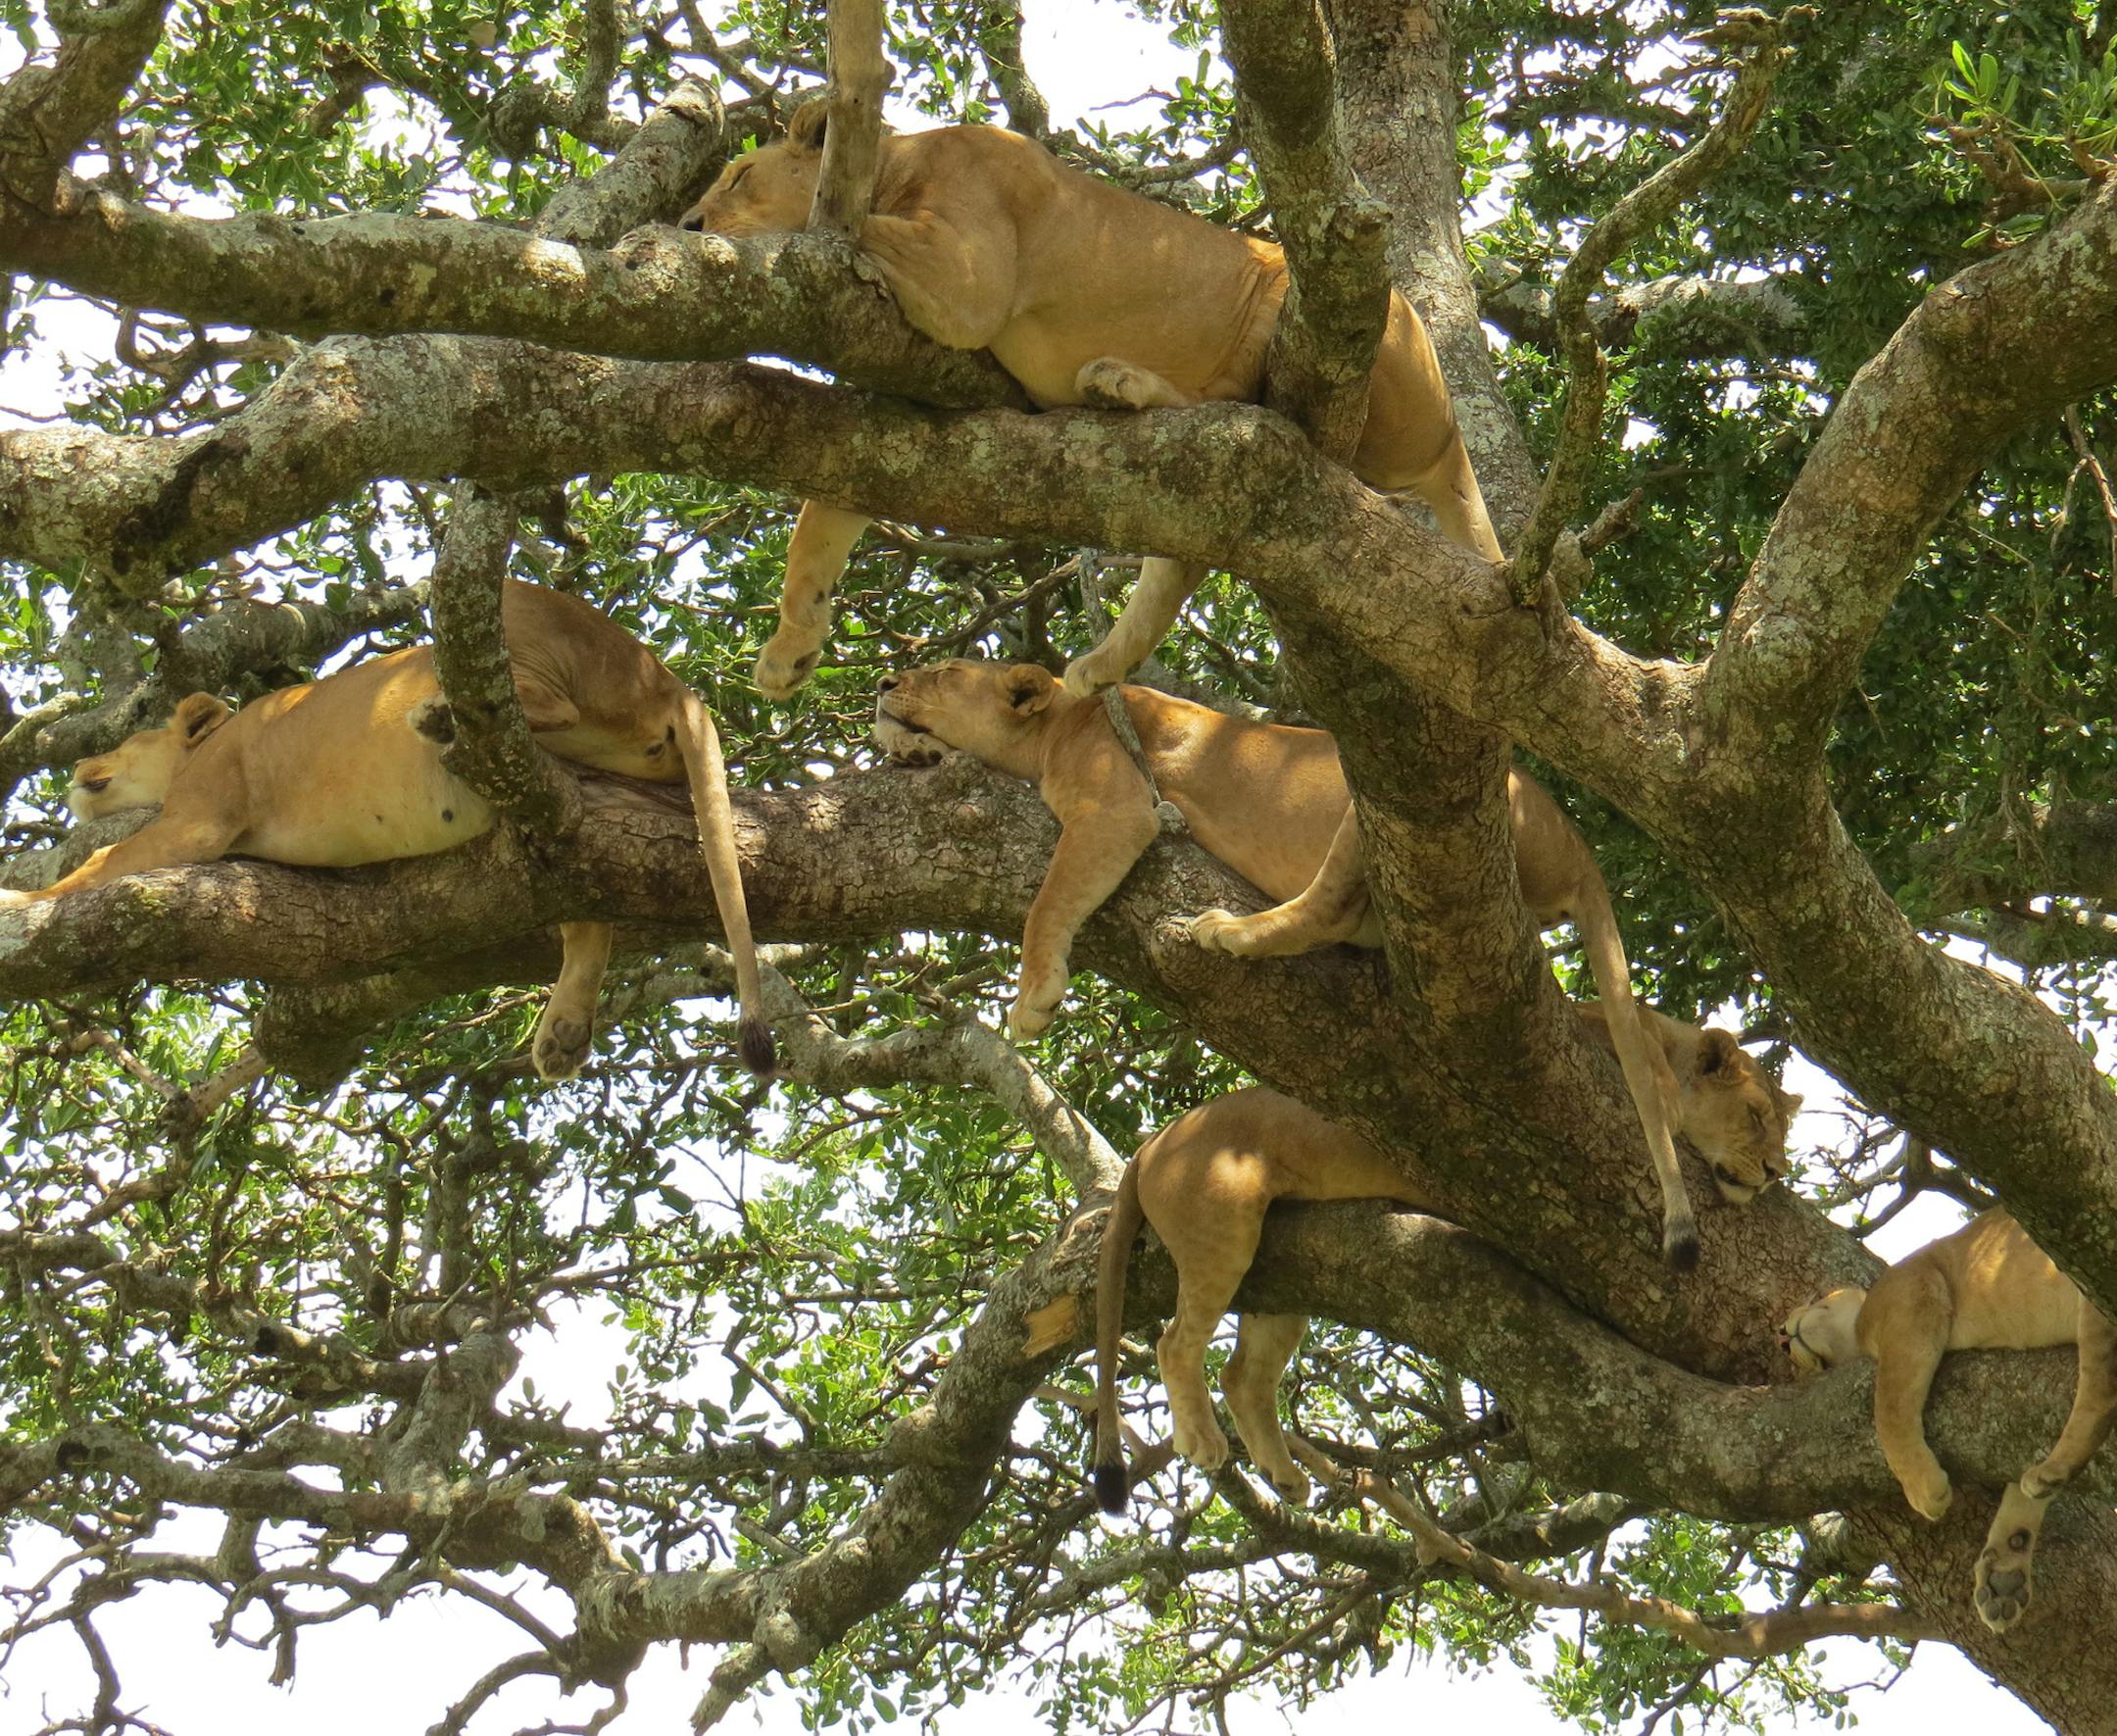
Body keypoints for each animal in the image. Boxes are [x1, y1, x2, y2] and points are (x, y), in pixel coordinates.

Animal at [3, 581, 774, 1080]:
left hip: (500, 619)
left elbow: (104, 859)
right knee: (589, 906)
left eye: (130, 732)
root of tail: (671, 682)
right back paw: (562, 1034)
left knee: (526, 699)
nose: (80, 764)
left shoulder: (200, 817)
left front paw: (21, 903)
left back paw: (436, 716)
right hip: (569, 817)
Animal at [679, 104, 1501, 700]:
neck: (901, 162)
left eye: (737, 175)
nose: (686, 223)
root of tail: (1452, 435)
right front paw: (791, 650)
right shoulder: (893, 408)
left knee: (1252, 414)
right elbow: (820, 522)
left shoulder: (965, 273)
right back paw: (1100, 666)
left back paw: (1119, 383)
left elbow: (849, 227)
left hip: (1306, 299)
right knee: (1180, 563)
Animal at [872, 657, 1771, 1267]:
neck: (1060, 721)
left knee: (1325, 910)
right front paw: (907, 754)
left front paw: (1033, 998)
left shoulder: (1116, 806)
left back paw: (1227, 932)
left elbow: (1047, 901)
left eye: (942, 672)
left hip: (1374, 802)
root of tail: (1576, 843)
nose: (884, 681)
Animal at [1088, 1041, 1794, 1511]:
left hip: (1282, 1278)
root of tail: (1153, 1142)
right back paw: (1205, 1441)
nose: (1776, 1171)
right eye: (1756, 1114)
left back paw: (1286, 1474)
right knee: (1173, 1343)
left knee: (1242, 1375)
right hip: (1223, 1233)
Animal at [1780, 1209, 2117, 1632]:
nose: (1781, 1335)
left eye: (1814, 1298)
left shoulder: (1915, 1301)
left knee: (2100, 1393)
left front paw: (1925, 1491)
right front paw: (2003, 1575)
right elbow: (2018, 1495)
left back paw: (2053, 1470)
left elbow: (1888, 1411)